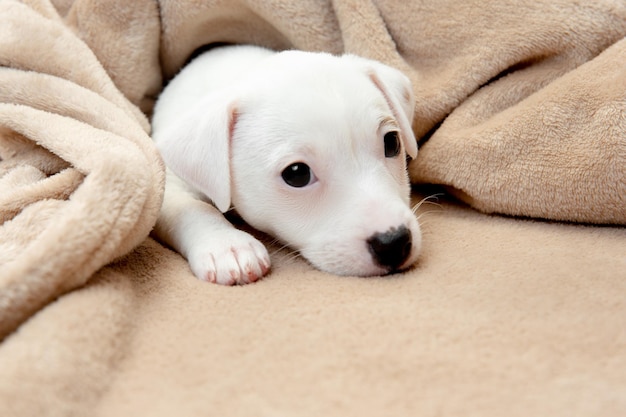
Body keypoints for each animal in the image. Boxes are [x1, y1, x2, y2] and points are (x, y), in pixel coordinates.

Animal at [152, 46, 420, 286]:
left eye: (392, 142)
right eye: (297, 174)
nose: (394, 243)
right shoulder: (168, 179)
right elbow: (191, 206)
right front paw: (228, 245)